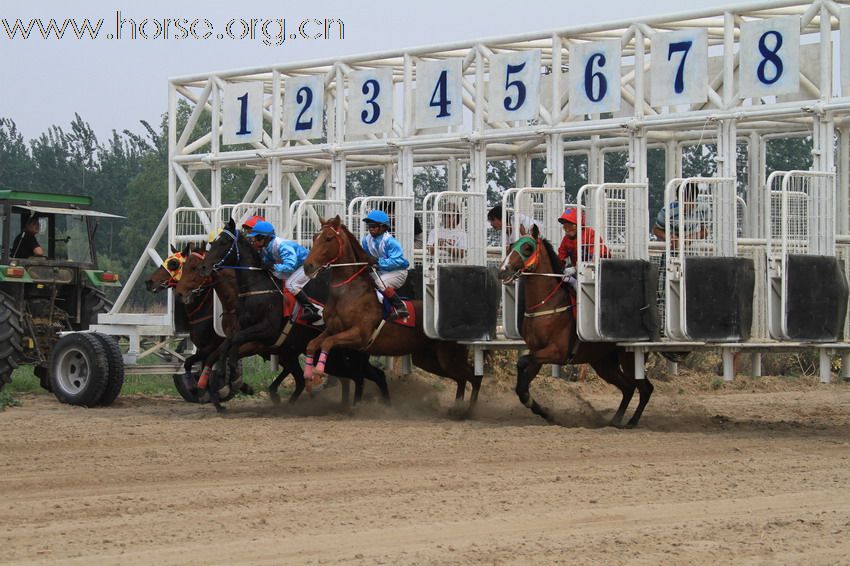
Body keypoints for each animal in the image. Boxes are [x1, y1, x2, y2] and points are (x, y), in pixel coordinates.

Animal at [302, 215, 480, 414]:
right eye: (314, 237)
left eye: (328, 238)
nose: (307, 266)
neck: (347, 293)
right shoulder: (333, 330)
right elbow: (312, 344)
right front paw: (308, 377)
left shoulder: (359, 335)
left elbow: (327, 343)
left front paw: (318, 374)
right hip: (428, 359)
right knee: (462, 378)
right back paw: (457, 409)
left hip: (448, 356)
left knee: (473, 377)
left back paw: (468, 411)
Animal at [494, 224, 652, 428]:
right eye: (511, 245)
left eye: (527, 248)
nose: (502, 271)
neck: (546, 305)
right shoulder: (537, 353)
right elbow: (523, 383)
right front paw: (544, 411)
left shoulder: (556, 352)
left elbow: (522, 363)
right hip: (603, 363)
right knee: (628, 387)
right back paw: (615, 420)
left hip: (629, 358)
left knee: (645, 388)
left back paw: (631, 421)